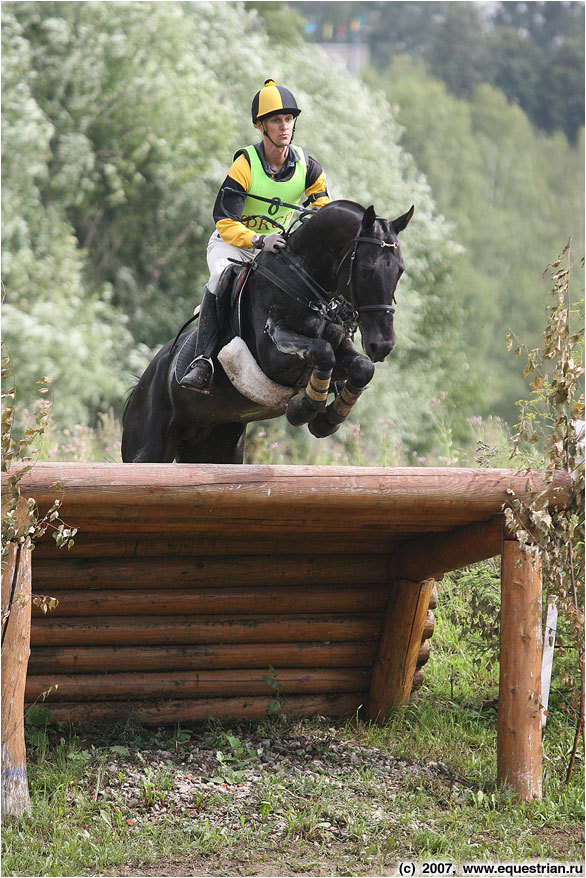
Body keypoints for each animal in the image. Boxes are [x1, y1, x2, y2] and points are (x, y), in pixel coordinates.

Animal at [120, 198, 410, 460]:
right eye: (367, 269)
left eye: (400, 270)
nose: (382, 345)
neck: (303, 279)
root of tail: (141, 384)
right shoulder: (273, 357)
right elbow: (321, 351)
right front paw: (304, 409)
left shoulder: (341, 350)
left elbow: (362, 367)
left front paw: (327, 419)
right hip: (148, 449)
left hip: (218, 446)